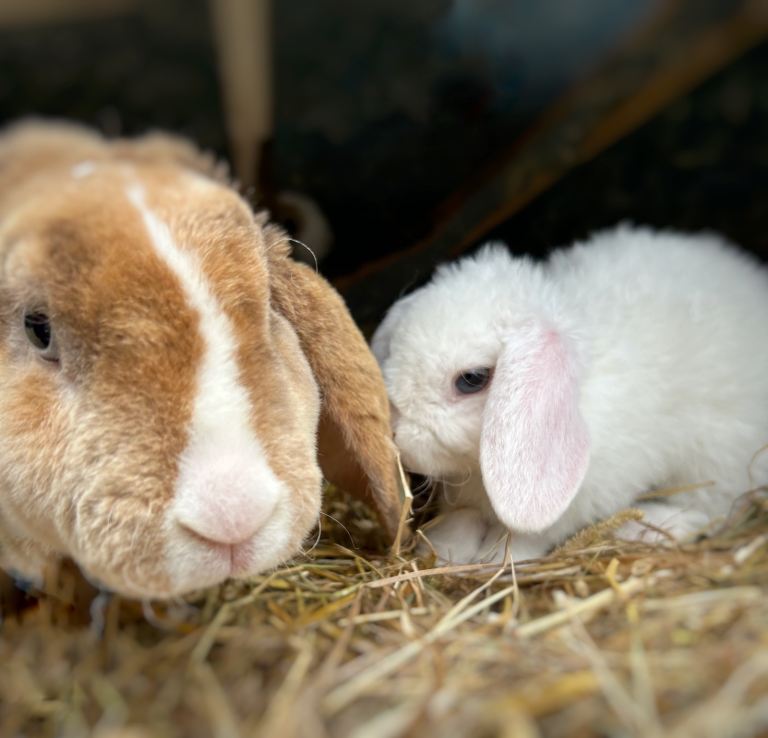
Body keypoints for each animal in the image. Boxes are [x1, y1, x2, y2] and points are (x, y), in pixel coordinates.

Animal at [372, 225, 768, 564]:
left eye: (471, 379)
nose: (393, 430)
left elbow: (525, 536)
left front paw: (495, 561)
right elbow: (461, 519)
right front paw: (444, 551)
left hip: (717, 456)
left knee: (716, 506)